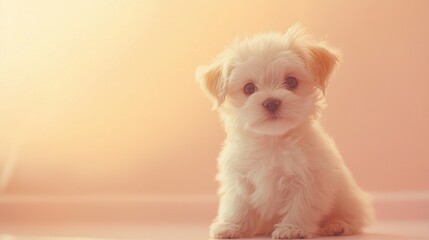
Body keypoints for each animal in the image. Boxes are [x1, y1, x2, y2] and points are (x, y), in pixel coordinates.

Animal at [196, 23, 372, 238]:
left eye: (291, 82)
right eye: (248, 88)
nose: (271, 102)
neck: (273, 140)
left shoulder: (308, 180)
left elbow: (300, 206)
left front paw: (292, 229)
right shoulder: (239, 179)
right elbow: (237, 206)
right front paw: (230, 226)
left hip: (350, 200)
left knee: (354, 218)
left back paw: (337, 225)